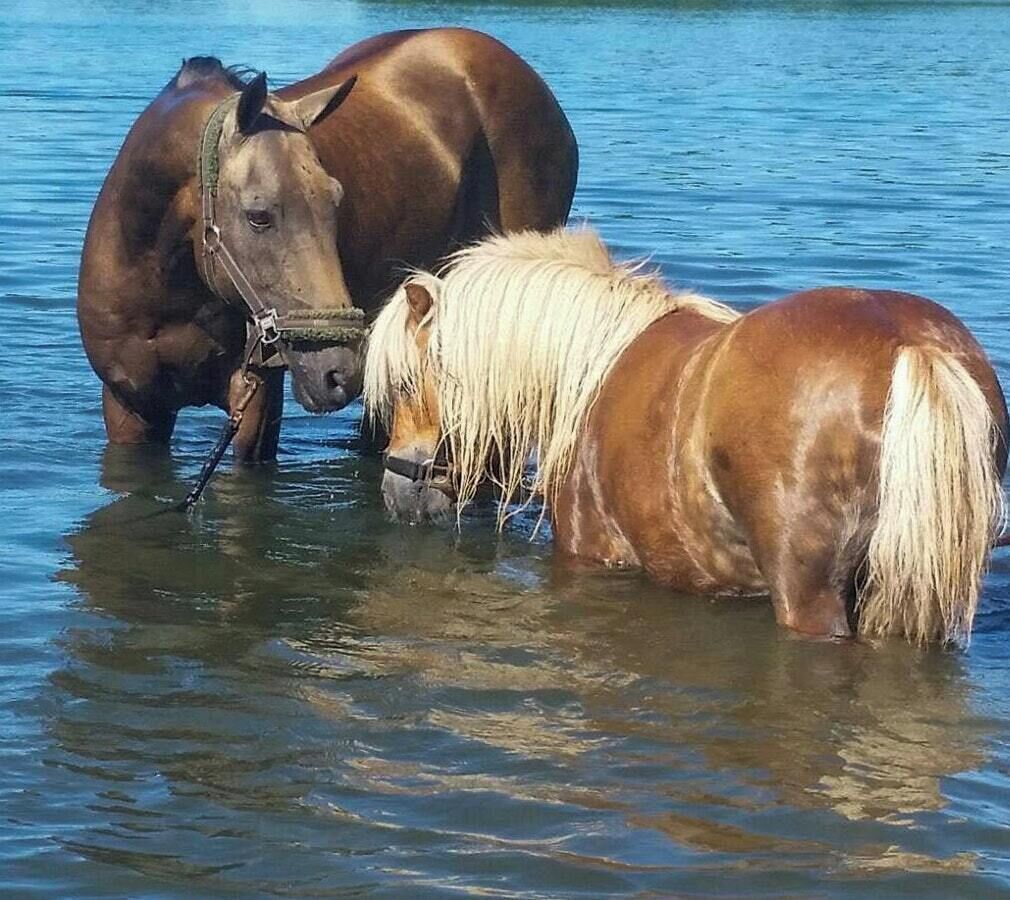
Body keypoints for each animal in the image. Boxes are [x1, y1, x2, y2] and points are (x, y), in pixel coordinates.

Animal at [78, 29, 577, 462]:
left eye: (336, 201)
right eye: (259, 216)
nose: (338, 372)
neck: (162, 283)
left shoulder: (257, 403)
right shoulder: (129, 406)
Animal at [363, 228, 1008, 645]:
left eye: (405, 384)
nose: (395, 490)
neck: (592, 364)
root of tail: (909, 343)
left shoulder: (589, 554)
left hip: (811, 594)